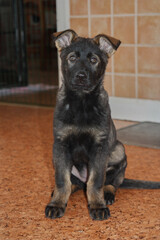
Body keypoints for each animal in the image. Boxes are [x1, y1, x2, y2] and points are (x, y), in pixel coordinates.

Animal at [44, 29, 159, 221]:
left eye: (93, 60)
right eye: (72, 58)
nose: (81, 76)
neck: (81, 102)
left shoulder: (99, 147)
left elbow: (96, 181)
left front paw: (98, 206)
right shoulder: (60, 145)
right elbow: (62, 180)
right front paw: (57, 204)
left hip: (119, 150)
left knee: (112, 182)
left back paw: (108, 195)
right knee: (74, 183)